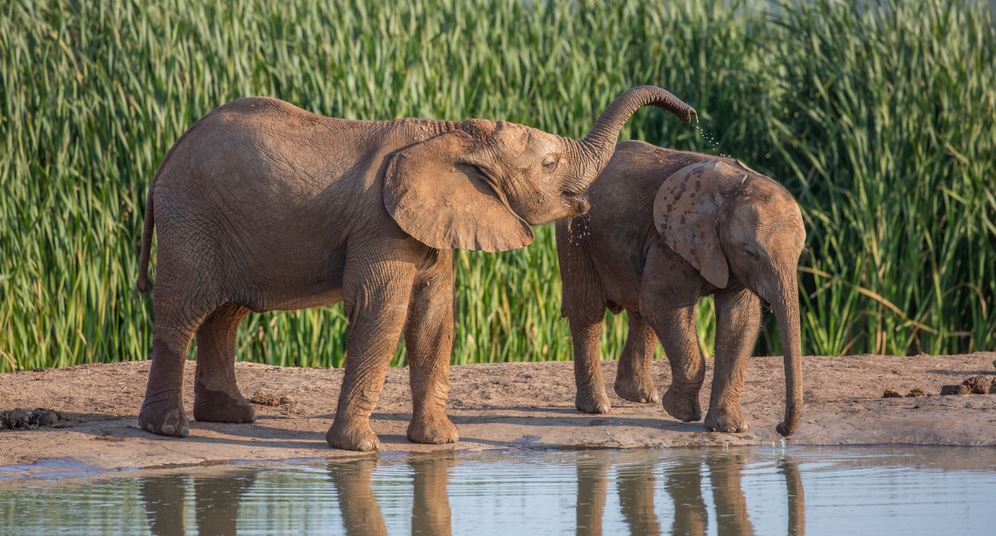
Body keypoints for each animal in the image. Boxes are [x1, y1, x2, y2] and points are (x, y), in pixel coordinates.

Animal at [136, 86, 696, 450]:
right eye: (550, 163)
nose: (689, 113)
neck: (449, 135)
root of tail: (165, 159)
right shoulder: (380, 225)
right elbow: (382, 313)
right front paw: (361, 449)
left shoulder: (433, 219)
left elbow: (434, 318)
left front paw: (438, 443)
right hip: (190, 219)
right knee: (183, 311)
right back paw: (169, 429)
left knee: (225, 313)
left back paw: (233, 417)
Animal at [556, 139, 804, 436]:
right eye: (751, 252)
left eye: (801, 252)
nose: (780, 428)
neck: (732, 190)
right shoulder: (671, 242)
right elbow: (665, 306)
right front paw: (681, 413)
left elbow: (739, 320)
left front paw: (729, 428)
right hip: (575, 237)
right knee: (589, 313)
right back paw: (597, 407)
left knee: (641, 311)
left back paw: (638, 396)